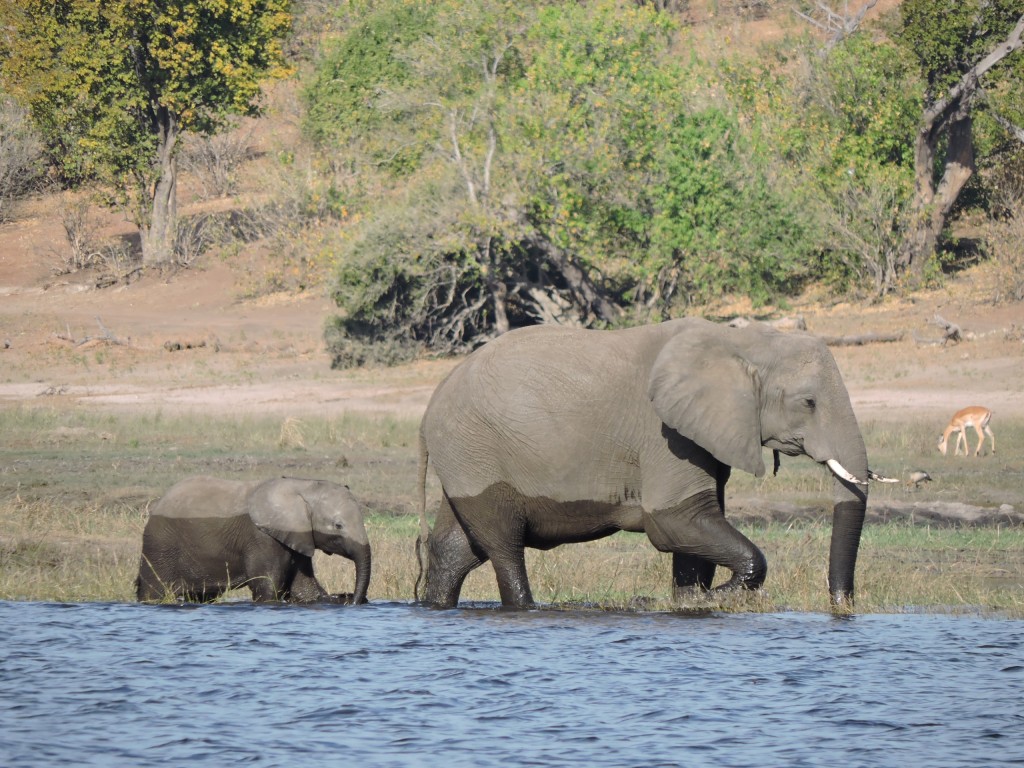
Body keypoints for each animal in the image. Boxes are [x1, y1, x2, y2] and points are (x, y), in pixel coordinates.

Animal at [136, 476, 371, 604]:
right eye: (338, 525)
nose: (354, 599)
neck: (301, 485)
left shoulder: (297, 534)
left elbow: (304, 589)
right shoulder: (262, 537)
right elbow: (268, 586)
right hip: (160, 546)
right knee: (153, 592)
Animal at [417, 317, 874, 610]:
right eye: (809, 402)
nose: (841, 605)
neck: (739, 343)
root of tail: (430, 406)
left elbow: (694, 528)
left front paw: (691, 600)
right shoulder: (665, 435)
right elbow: (674, 520)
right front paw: (712, 596)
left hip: (467, 457)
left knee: (457, 548)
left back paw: (437, 606)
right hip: (475, 449)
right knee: (504, 546)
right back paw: (524, 607)